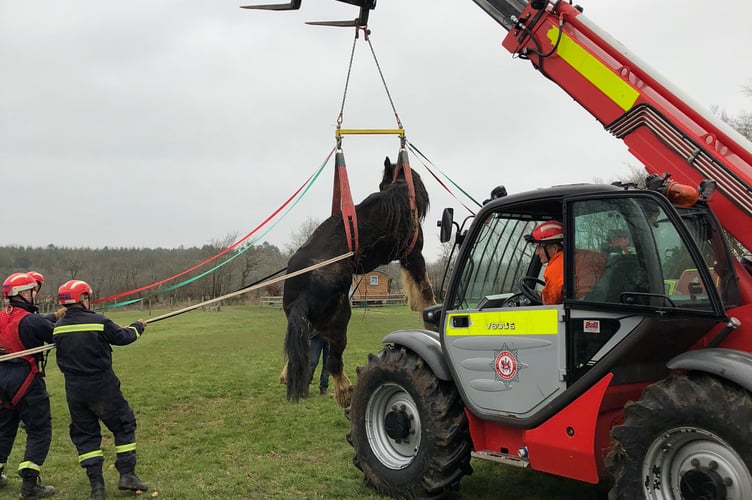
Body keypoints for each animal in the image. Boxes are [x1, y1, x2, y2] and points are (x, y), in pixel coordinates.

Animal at [280, 155, 434, 406]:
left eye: (381, 183)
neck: (401, 195)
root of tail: (300, 296)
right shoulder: (413, 254)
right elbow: (425, 287)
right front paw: (430, 315)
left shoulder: (405, 257)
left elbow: (414, 284)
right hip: (340, 319)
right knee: (333, 362)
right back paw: (345, 392)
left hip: (307, 322)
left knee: (299, 350)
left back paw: (287, 375)